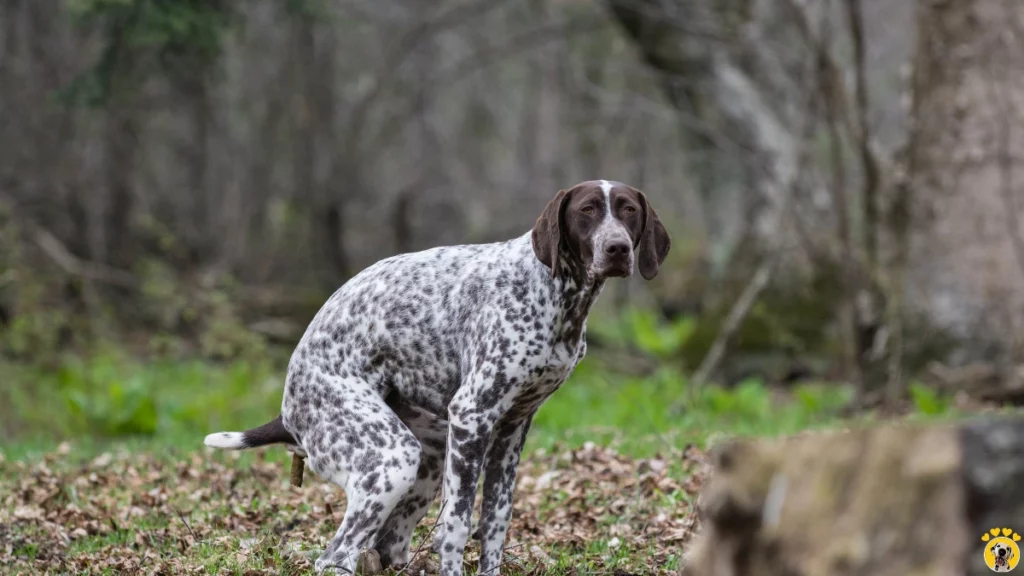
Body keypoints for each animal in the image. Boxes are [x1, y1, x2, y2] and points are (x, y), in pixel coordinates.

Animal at [205, 178, 671, 569]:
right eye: (588, 210)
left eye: (628, 211)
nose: (617, 248)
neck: (555, 294)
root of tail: (288, 407)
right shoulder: (471, 417)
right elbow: (456, 528)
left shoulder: (510, 431)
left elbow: (494, 527)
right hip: (391, 460)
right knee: (334, 557)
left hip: (427, 459)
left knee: (386, 547)